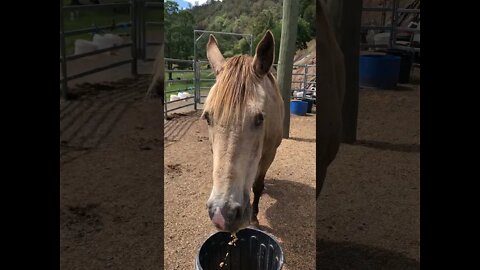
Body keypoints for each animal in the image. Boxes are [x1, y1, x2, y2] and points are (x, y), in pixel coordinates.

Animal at [201, 31, 284, 232]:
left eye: (260, 118)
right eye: (207, 117)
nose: (222, 214)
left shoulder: (269, 154)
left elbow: (258, 185)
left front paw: (254, 218)